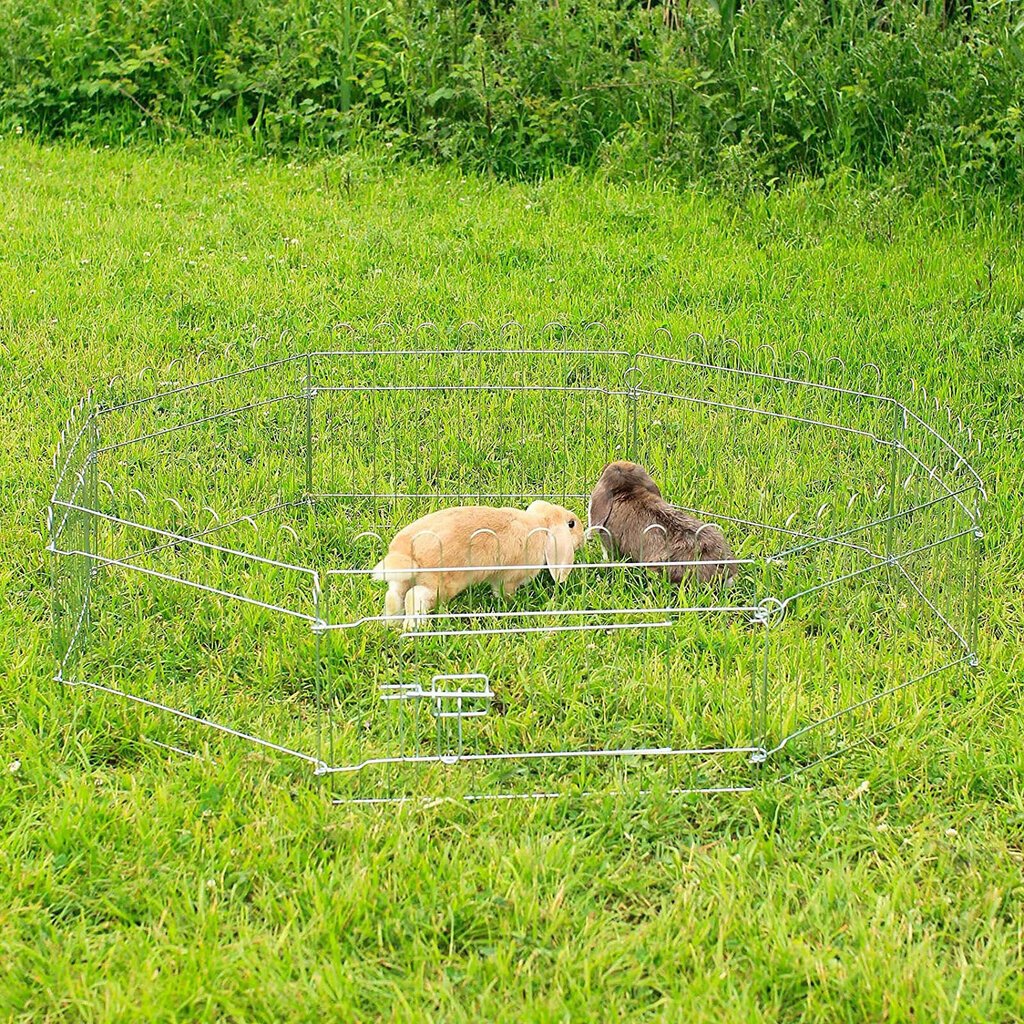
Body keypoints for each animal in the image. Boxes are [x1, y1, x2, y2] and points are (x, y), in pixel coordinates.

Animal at [374, 499, 585, 626]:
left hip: (404, 581)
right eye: (571, 524)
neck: (541, 524)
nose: (583, 539)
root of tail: (407, 554)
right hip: (441, 585)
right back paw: (414, 627)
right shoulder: (509, 578)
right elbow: (504, 591)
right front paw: (510, 603)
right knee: (414, 596)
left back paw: (390, 624)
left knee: (394, 595)